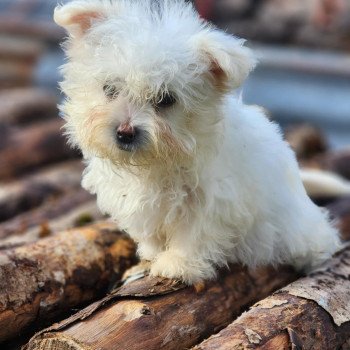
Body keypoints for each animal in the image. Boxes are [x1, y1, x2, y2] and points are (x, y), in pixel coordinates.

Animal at [53, 0, 340, 284]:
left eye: (166, 99)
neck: (158, 163)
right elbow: (151, 233)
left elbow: (193, 233)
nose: (125, 132)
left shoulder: (211, 200)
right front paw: (152, 256)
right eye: (110, 88)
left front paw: (177, 265)